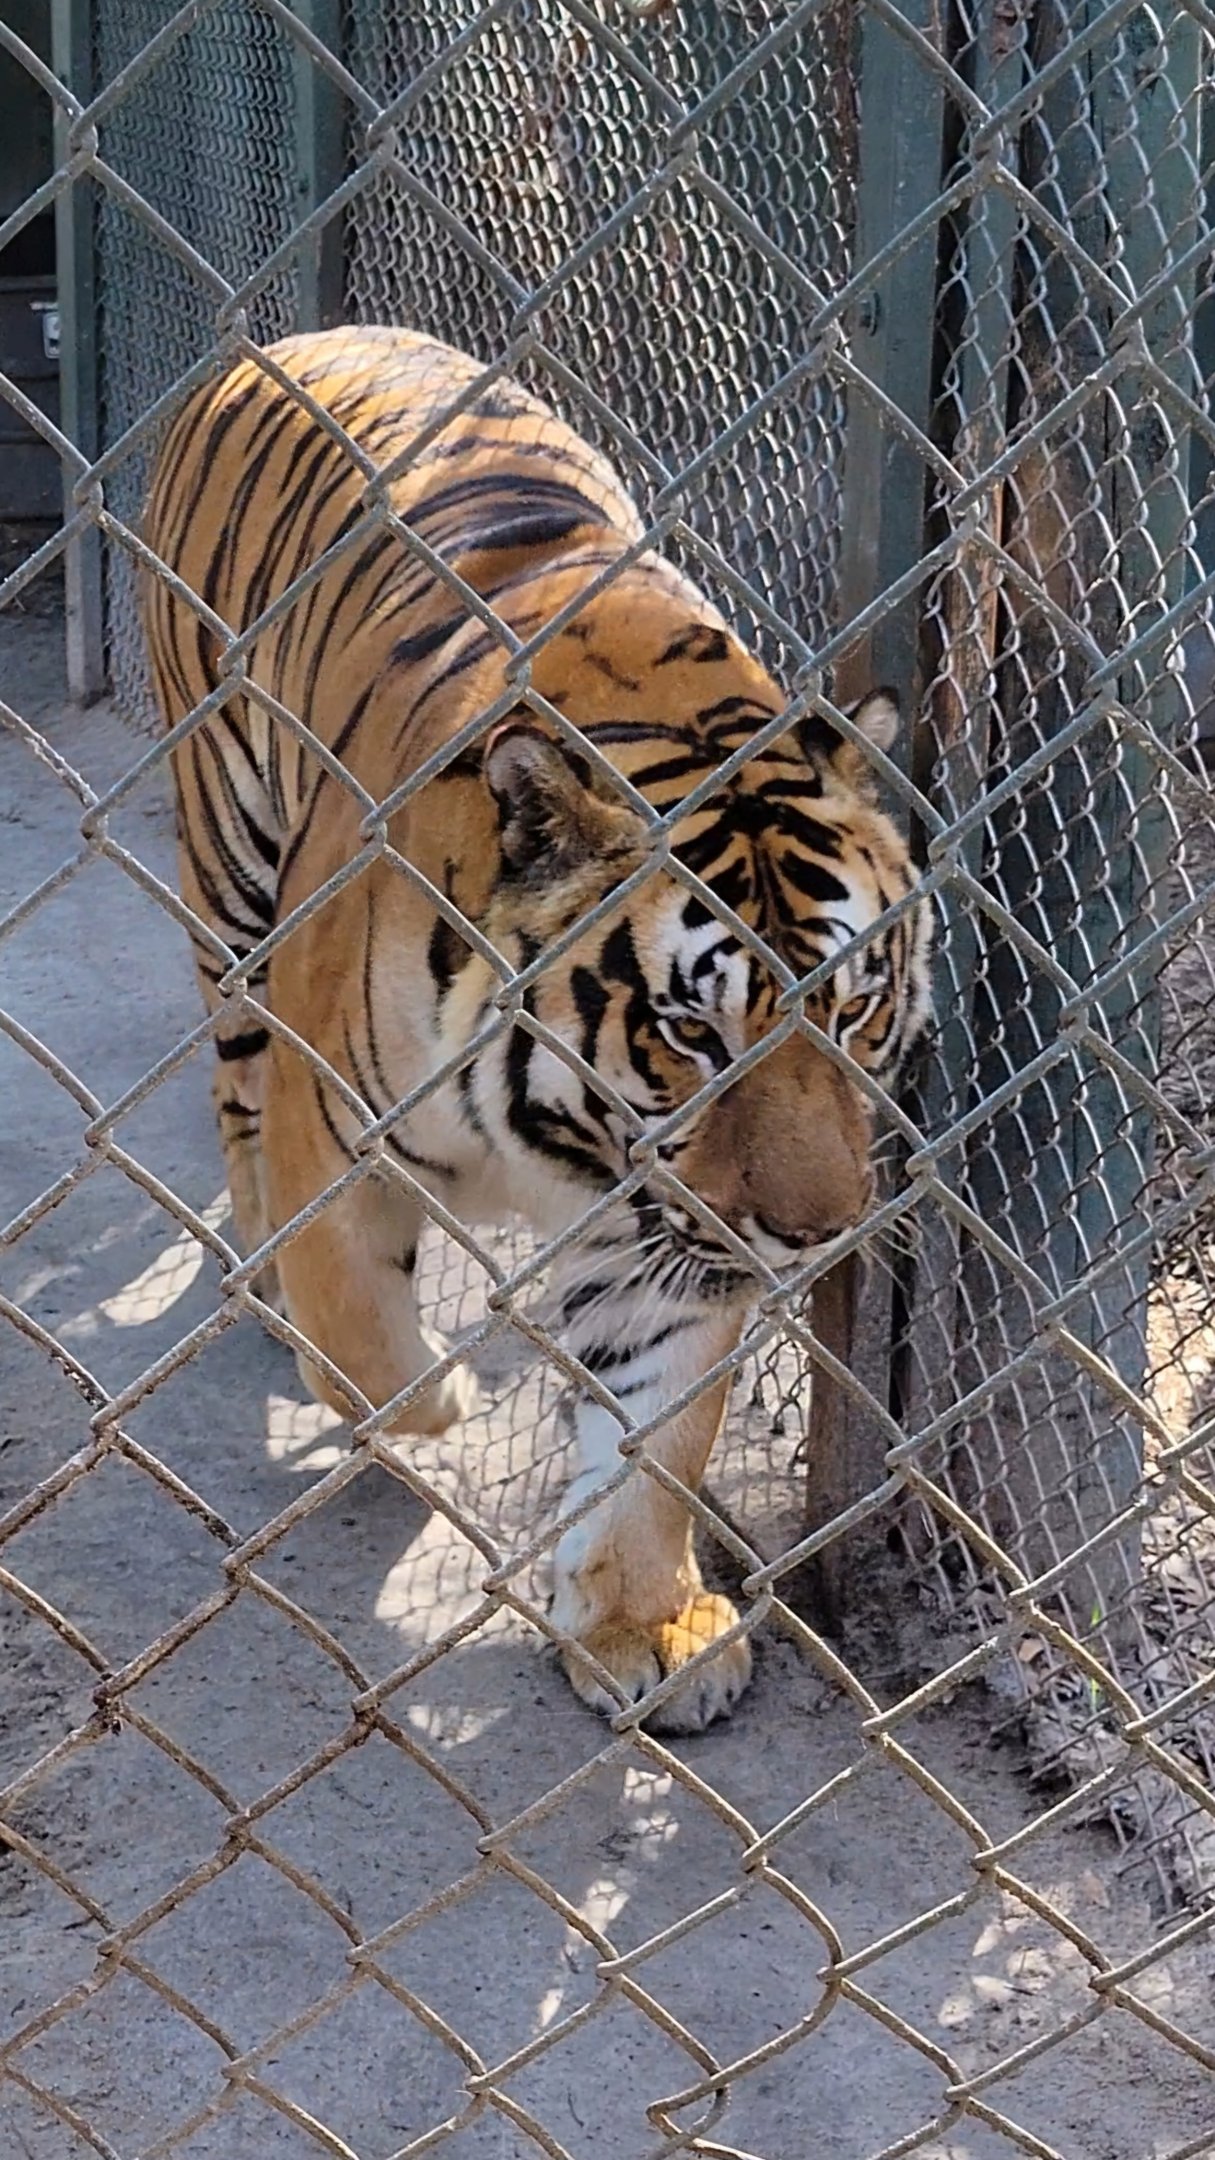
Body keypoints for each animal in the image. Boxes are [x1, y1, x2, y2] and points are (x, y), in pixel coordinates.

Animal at [142, 325, 931, 1732]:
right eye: (692, 1035)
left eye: (852, 1008)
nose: (811, 1238)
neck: (561, 1133)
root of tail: (294, 337)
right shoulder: (333, 1131)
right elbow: (363, 1339)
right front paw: (425, 1391)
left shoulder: (667, 1236)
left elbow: (653, 1438)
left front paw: (643, 1624)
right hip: (230, 872)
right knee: (232, 1089)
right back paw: (260, 1278)